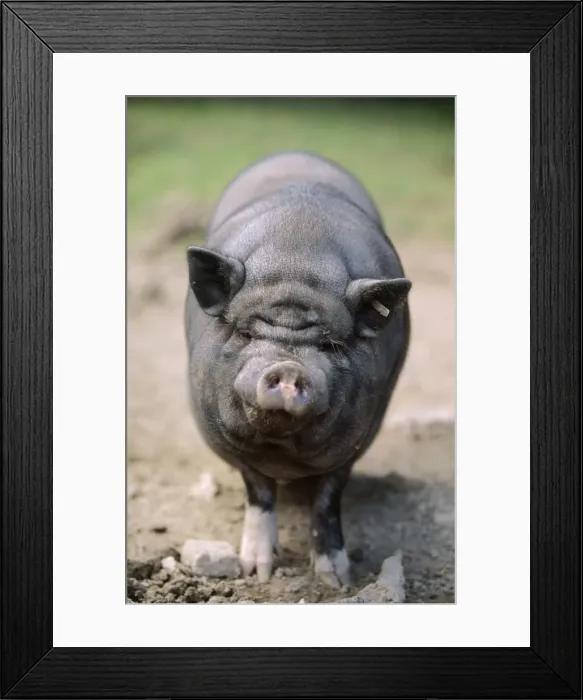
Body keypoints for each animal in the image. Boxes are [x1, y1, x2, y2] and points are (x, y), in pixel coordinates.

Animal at [185, 151, 411, 587]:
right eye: (245, 332)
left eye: (329, 345)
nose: (288, 368)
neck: (296, 267)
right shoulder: (228, 442)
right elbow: (259, 492)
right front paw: (257, 572)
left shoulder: (356, 440)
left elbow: (327, 499)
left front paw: (336, 580)